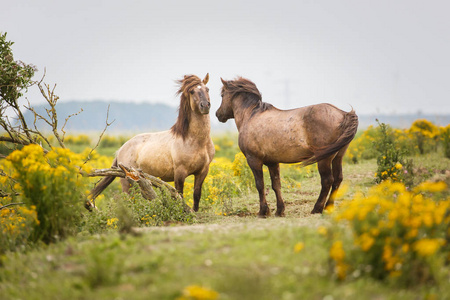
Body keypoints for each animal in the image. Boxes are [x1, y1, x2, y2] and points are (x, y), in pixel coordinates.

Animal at [91, 74, 214, 211]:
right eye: (192, 91)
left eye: (207, 89)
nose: (205, 106)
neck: (195, 141)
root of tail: (120, 150)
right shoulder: (179, 173)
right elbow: (180, 196)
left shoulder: (202, 171)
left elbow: (196, 196)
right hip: (127, 182)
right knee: (129, 201)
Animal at [216, 77, 360, 218]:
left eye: (222, 95)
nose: (218, 114)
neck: (251, 116)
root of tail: (344, 114)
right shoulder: (273, 162)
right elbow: (276, 185)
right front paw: (279, 210)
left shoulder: (253, 160)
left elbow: (260, 185)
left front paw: (263, 211)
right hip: (338, 156)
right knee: (338, 179)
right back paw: (329, 207)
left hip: (325, 159)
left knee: (327, 180)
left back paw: (317, 209)